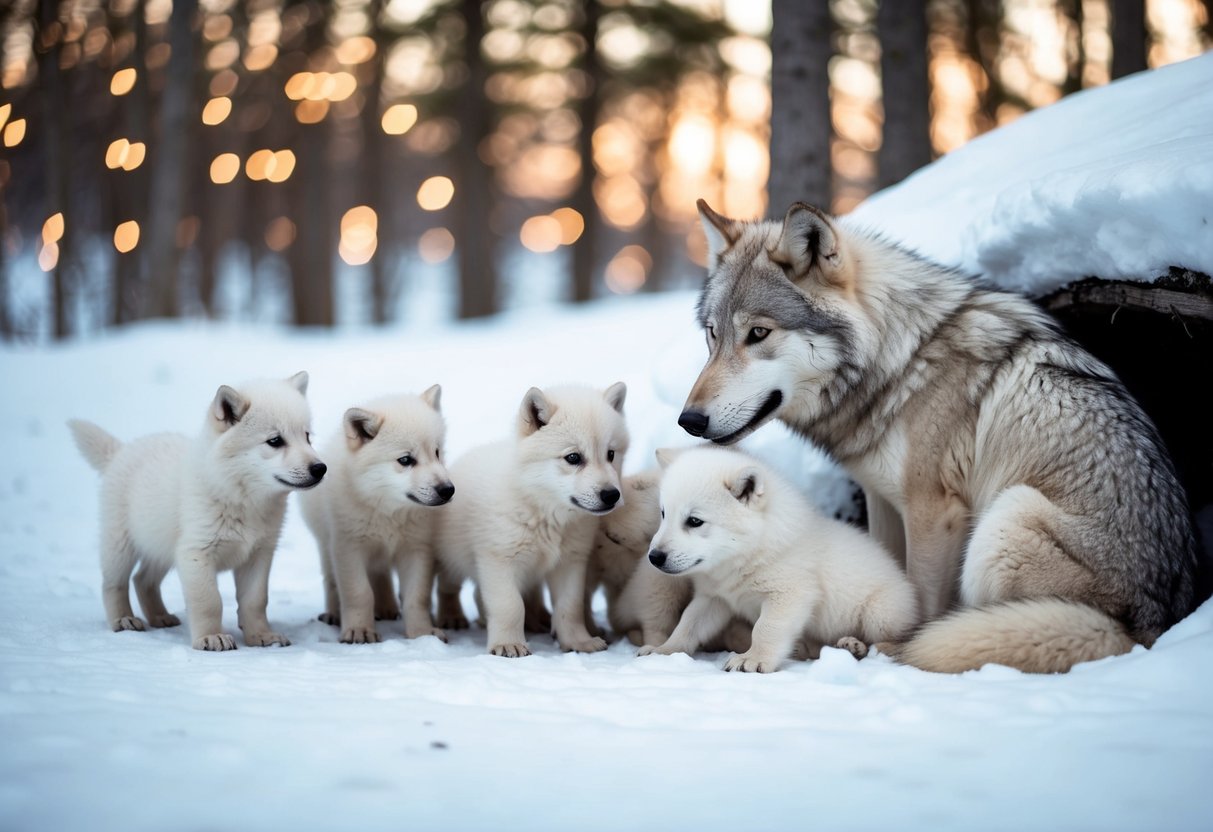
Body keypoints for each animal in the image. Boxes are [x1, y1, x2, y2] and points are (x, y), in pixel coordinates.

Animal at [68, 372, 326, 651]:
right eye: (275, 441)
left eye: (307, 437)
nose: (320, 468)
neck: (240, 497)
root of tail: (120, 451)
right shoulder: (196, 554)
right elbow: (209, 601)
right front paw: (210, 637)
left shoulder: (259, 555)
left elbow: (255, 601)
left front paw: (261, 636)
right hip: (120, 545)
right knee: (114, 584)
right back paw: (123, 620)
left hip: (161, 549)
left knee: (142, 580)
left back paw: (159, 617)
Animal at [300, 386, 453, 645]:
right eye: (405, 460)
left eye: (437, 452)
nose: (447, 490)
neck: (387, 513)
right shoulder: (349, 547)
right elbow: (359, 592)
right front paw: (359, 630)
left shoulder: (416, 549)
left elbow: (417, 596)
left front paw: (421, 633)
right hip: (326, 545)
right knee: (332, 581)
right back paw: (335, 615)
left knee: (381, 577)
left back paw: (387, 609)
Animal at [433, 383, 628, 657]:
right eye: (573, 458)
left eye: (611, 454)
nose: (611, 495)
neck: (542, 509)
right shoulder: (499, 561)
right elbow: (510, 605)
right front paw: (508, 644)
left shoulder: (570, 561)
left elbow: (570, 606)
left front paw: (578, 642)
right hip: (451, 556)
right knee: (449, 587)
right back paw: (452, 618)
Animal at [639, 446, 918, 672]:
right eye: (663, 513)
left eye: (695, 521)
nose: (655, 557)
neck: (748, 553)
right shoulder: (714, 597)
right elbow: (689, 623)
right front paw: (664, 650)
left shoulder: (789, 593)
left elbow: (766, 627)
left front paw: (752, 659)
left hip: (880, 611)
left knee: (900, 635)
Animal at [680, 199, 1198, 672]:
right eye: (712, 335)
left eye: (758, 333)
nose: (690, 421)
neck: (900, 361)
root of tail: (1144, 629)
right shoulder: (882, 500)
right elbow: (885, 568)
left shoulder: (933, 510)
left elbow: (922, 592)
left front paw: (898, 647)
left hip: (1006, 519)